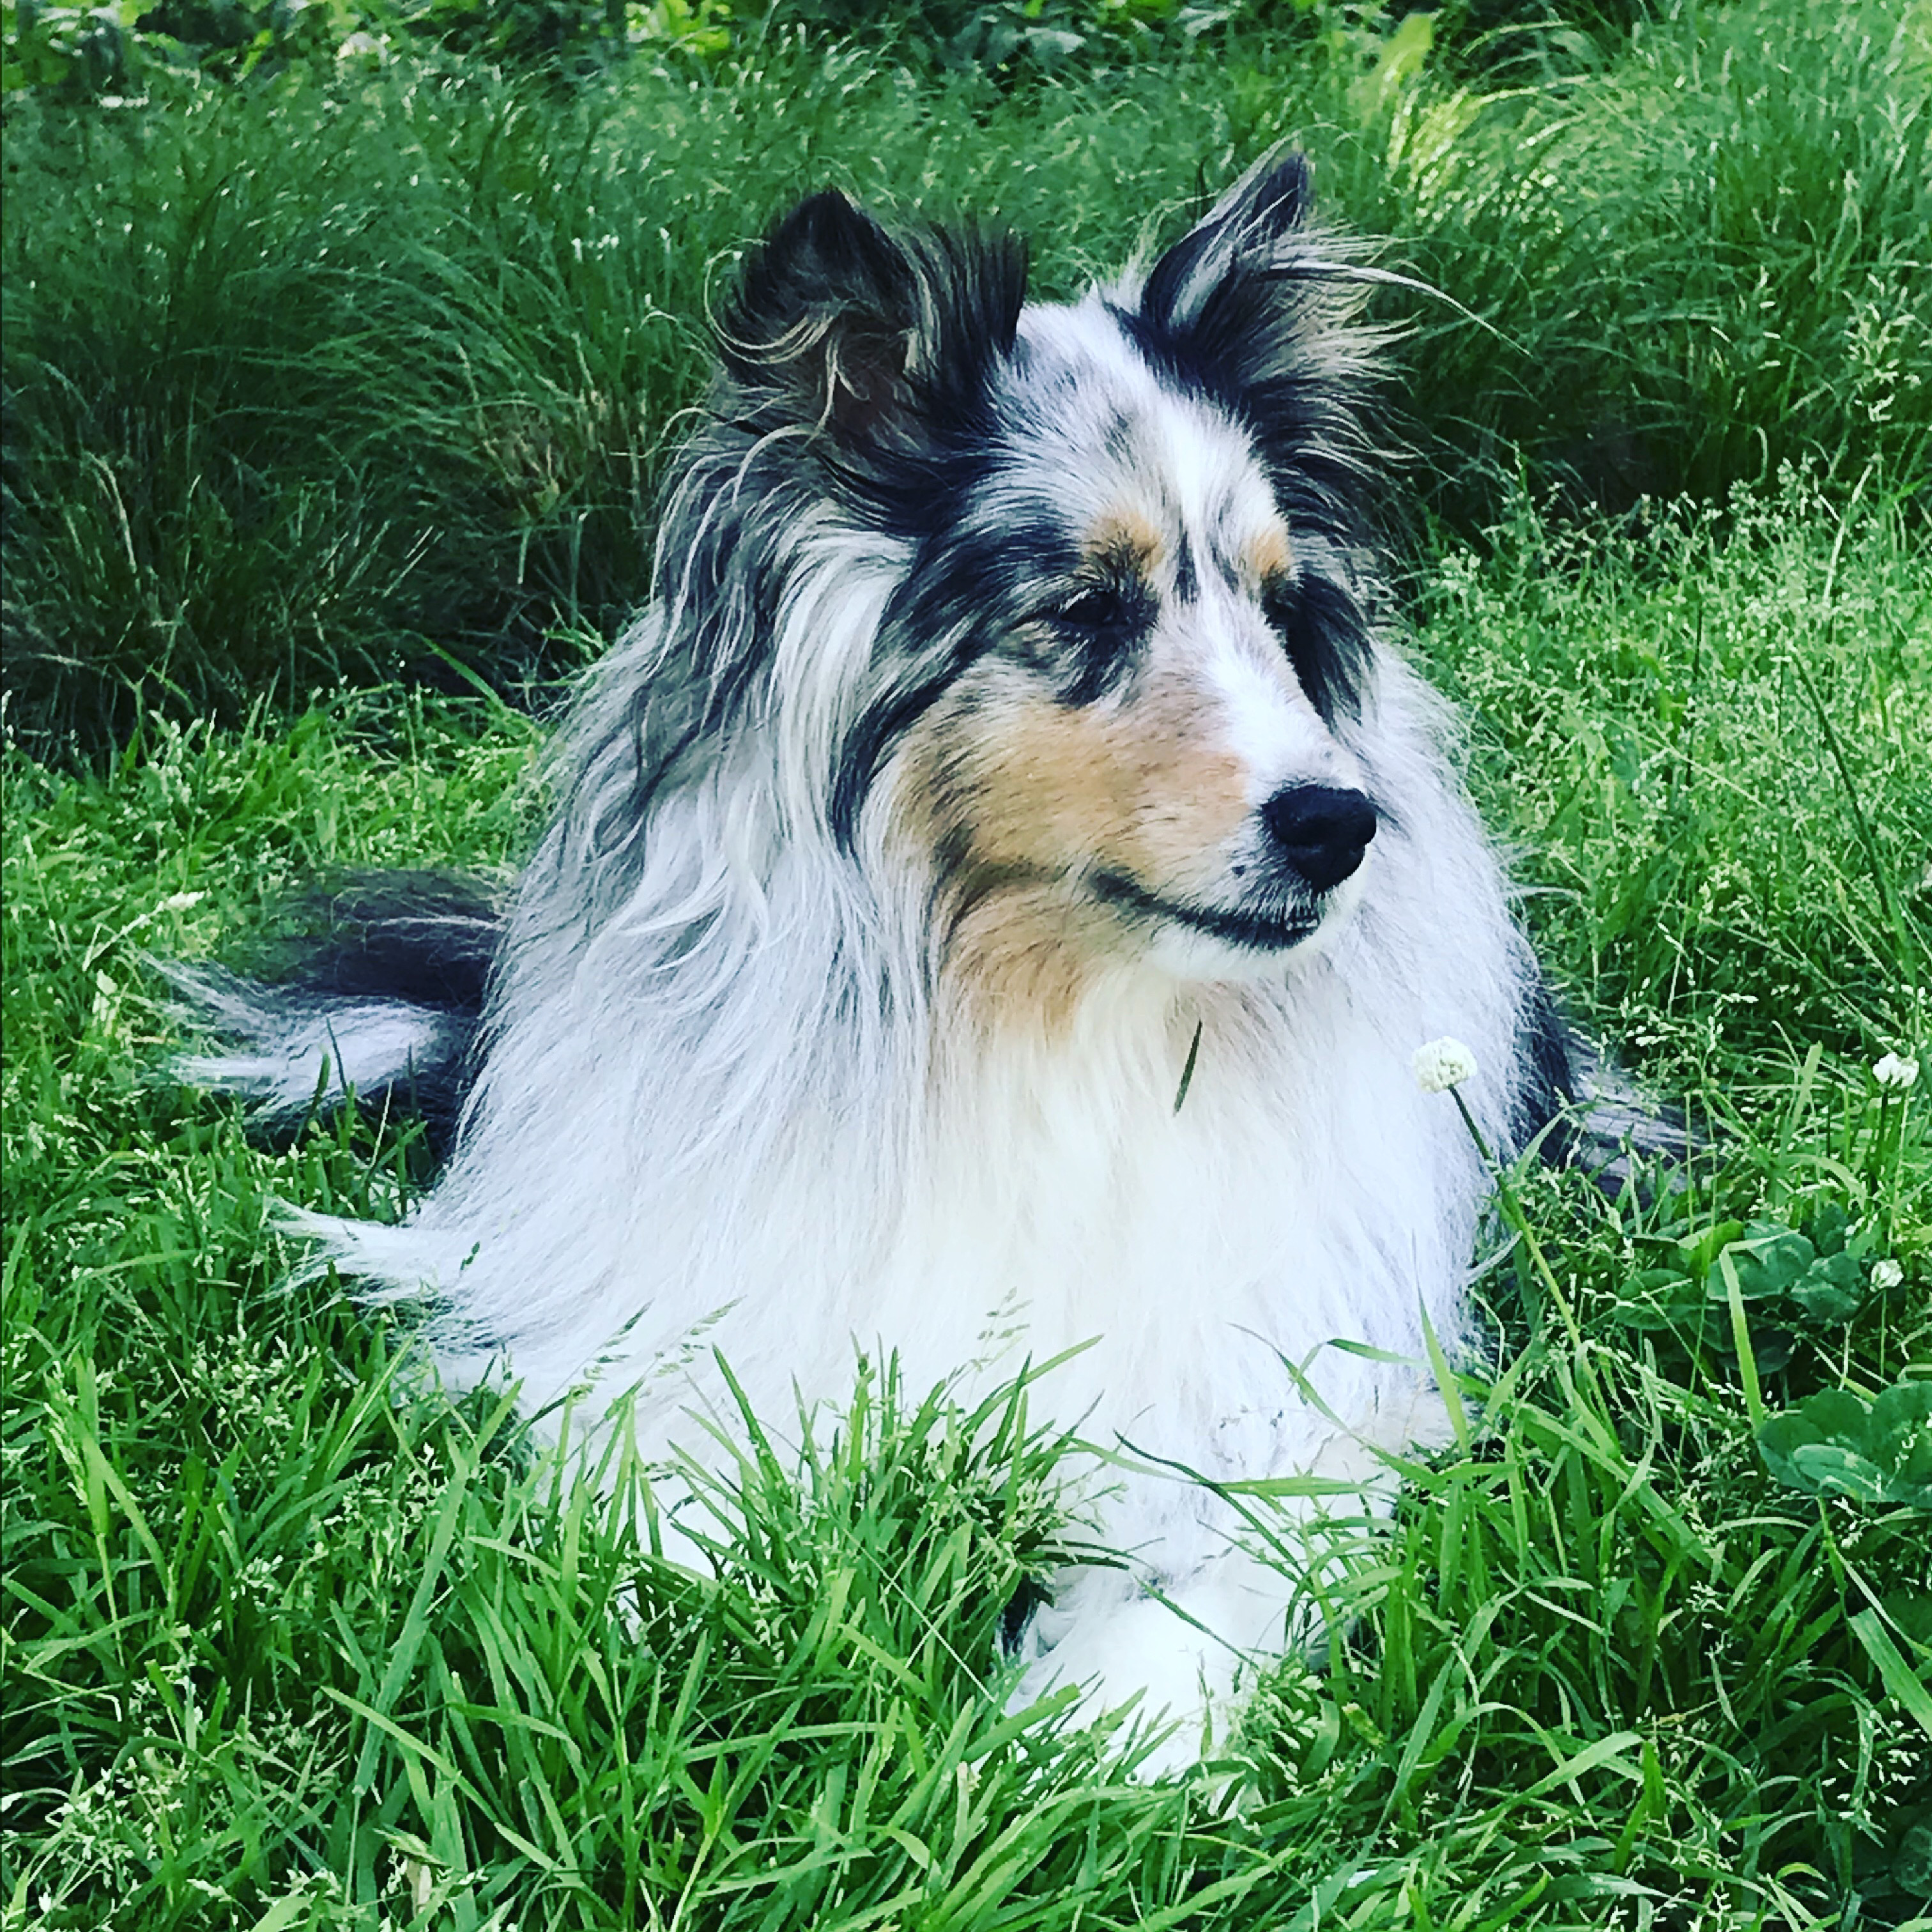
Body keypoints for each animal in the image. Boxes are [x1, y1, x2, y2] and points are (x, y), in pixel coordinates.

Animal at [172, 151, 1585, 1770]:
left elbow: (1210, 1569)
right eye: (1085, 610)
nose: (1342, 826)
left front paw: (1085, 1741)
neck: (1040, 1010)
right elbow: (660, 1480)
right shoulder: (701, 1320)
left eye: (1284, 610)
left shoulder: (1291, 1402)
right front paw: (668, 1641)